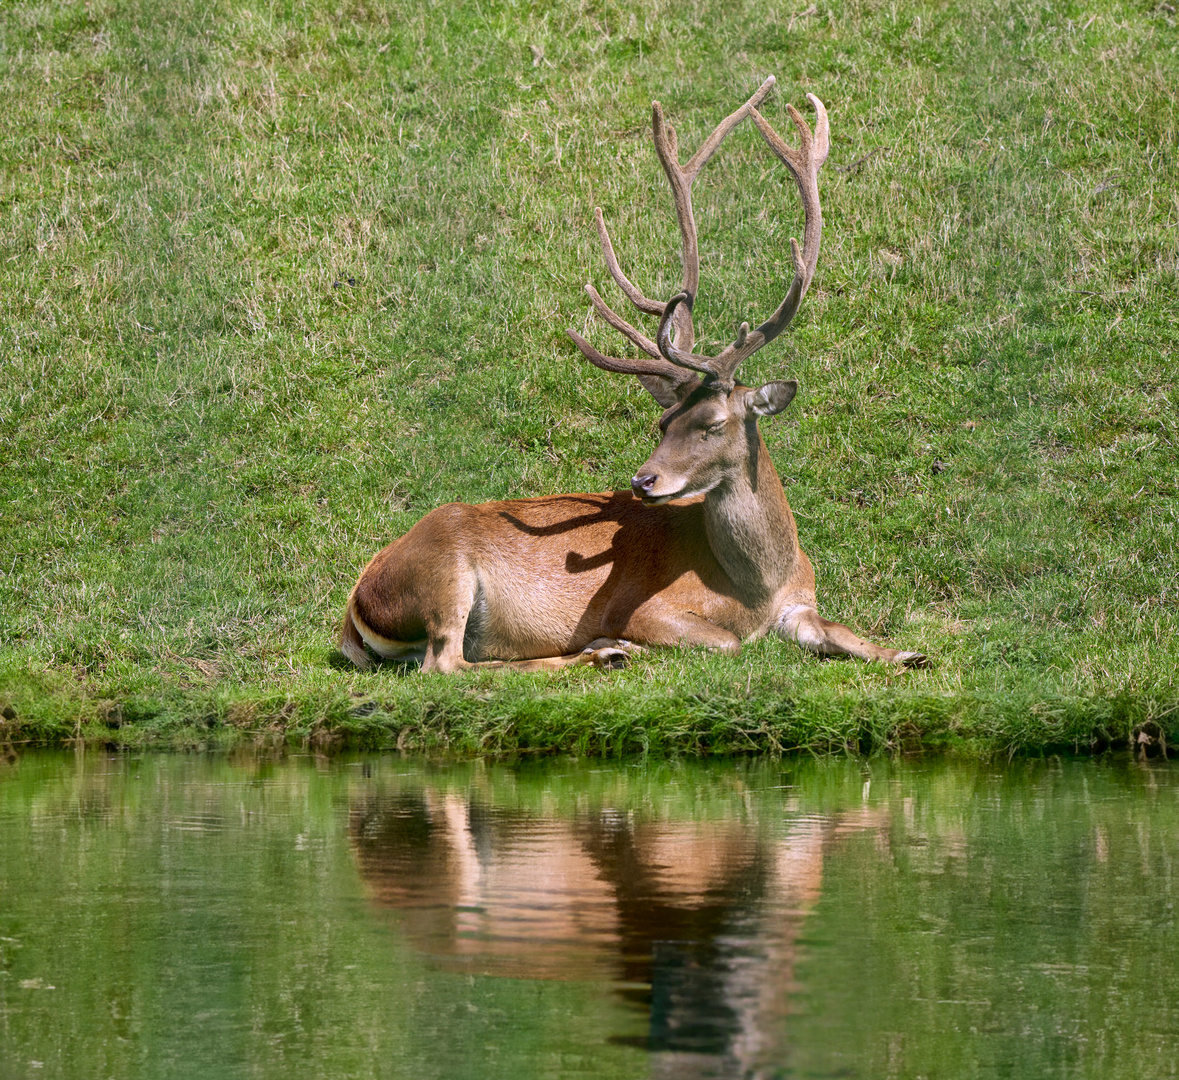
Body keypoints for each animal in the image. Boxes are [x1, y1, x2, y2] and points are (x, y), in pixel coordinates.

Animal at [337, 77, 924, 674]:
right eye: (663, 424)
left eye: (712, 423)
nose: (642, 482)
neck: (757, 588)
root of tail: (355, 608)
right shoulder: (645, 606)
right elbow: (726, 641)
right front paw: (627, 641)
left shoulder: (801, 601)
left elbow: (842, 632)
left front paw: (909, 651)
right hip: (444, 574)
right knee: (447, 663)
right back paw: (601, 651)